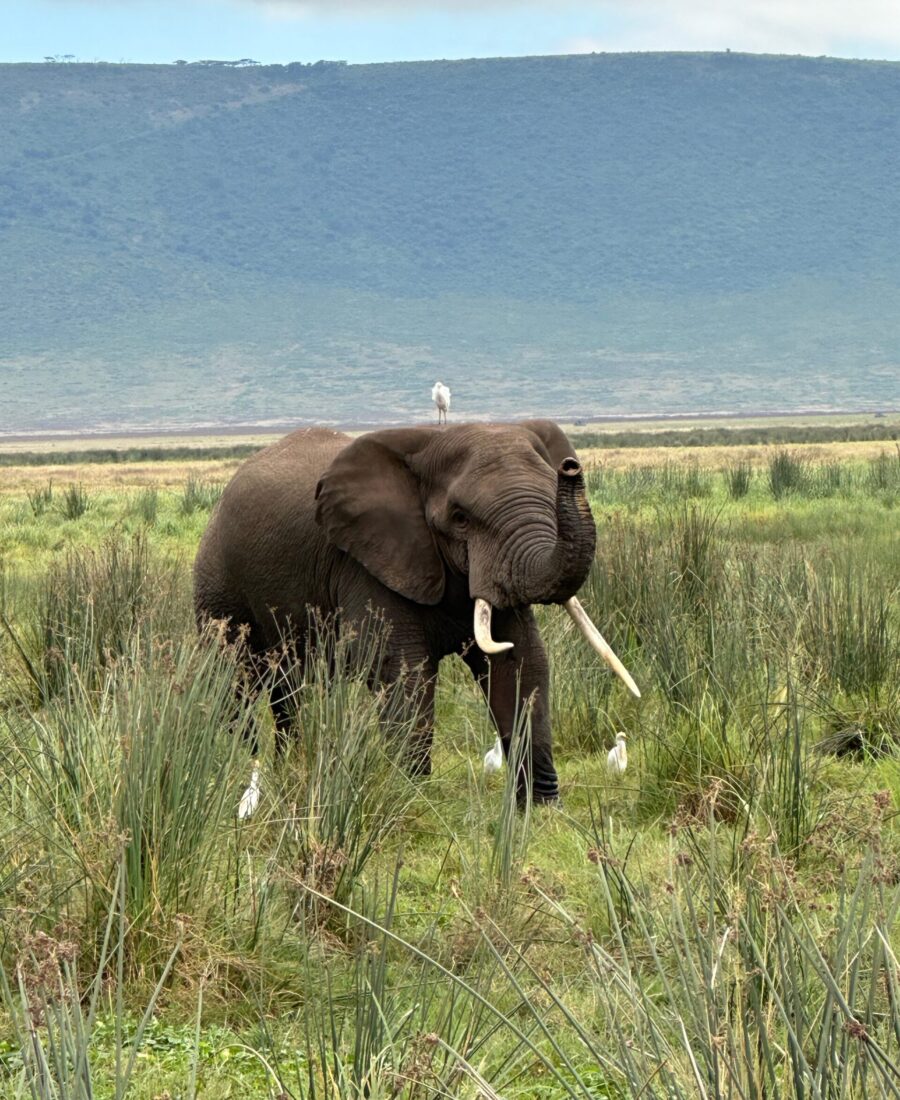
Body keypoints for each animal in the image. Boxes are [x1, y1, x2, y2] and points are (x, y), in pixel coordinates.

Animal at [192, 415, 633, 805]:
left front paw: (539, 808)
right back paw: (247, 773)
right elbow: (403, 671)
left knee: (289, 694)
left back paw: (289, 769)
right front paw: (410, 800)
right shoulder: (367, 562)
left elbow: (522, 664)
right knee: (233, 686)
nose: (571, 467)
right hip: (219, 583)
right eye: (460, 518)